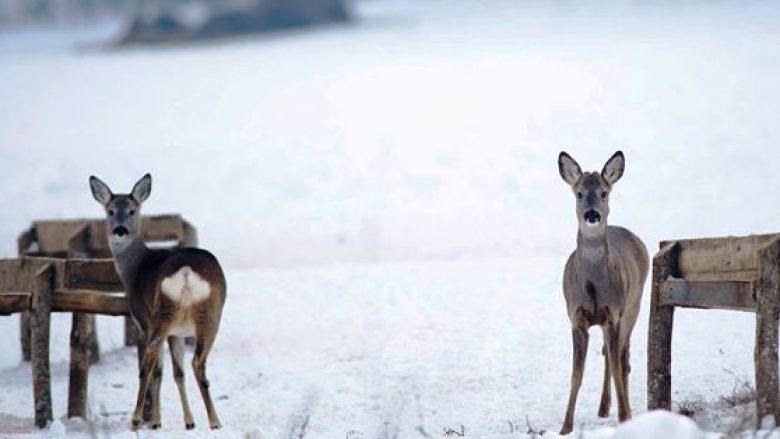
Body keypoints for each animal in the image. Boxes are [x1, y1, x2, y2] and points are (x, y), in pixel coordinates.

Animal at [92, 174, 227, 432]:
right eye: (110, 210)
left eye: (132, 210)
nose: (120, 230)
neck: (134, 270)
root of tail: (186, 272)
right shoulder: (177, 332)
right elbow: (177, 372)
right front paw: (188, 422)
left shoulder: (143, 321)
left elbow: (163, 371)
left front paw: (157, 421)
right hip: (205, 314)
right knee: (193, 363)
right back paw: (214, 421)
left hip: (162, 314)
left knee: (150, 363)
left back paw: (138, 420)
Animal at [556, 153, 648, 434]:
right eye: (579, 193)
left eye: (604, 193)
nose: (592, 214)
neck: (594, 286)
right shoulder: (576, 318)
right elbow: (576, 374)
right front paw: (565, 427)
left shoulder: (614, 314)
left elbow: (618, 367)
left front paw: (625, 417)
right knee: (609, 354)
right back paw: (604, 408)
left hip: (633, 307)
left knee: (622, 358)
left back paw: (621, 409)